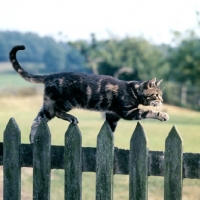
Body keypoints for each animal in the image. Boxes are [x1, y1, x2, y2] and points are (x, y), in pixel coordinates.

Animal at [9, 45, 169, 143]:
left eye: (161, 95)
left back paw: (34, 138)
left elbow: (110, 131)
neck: (133, 90)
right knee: (52, 114)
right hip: (61, 103)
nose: (161, 100)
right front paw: (163, 115)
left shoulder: (113, 116)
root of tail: (50, 76)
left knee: (39, 119)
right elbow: (148, 111)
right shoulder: (128, 112)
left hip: (51, 105)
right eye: (157, 95)